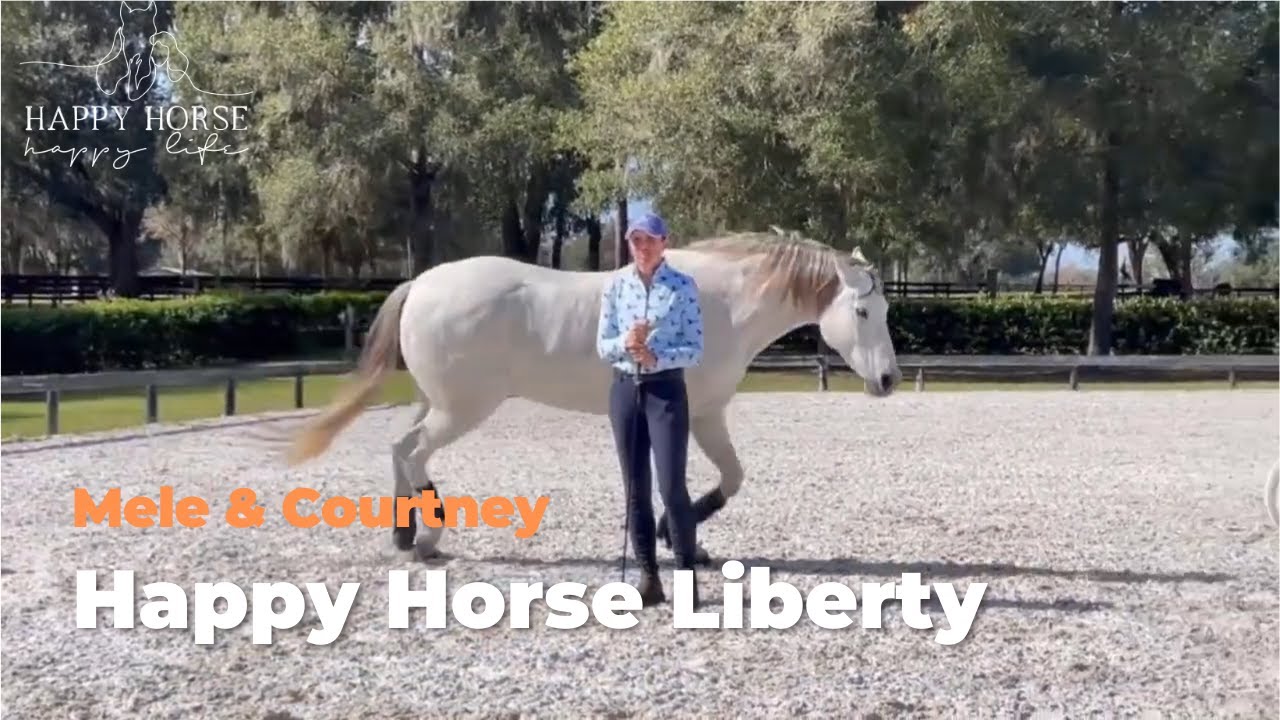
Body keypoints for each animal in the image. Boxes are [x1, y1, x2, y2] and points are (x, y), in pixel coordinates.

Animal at [280, 229, 903, 563]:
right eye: (864, 312)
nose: (889, 381)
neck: (721, 303)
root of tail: (421, 284)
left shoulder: (701, 413)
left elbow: (724, 479)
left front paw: (678, 539)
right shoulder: (695, 413)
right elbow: (706, 480)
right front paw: (675, 538)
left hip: (437, 403)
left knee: (398, 449)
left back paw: (403, 535)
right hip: (462, 409)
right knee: (412, 453)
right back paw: (429, 537)